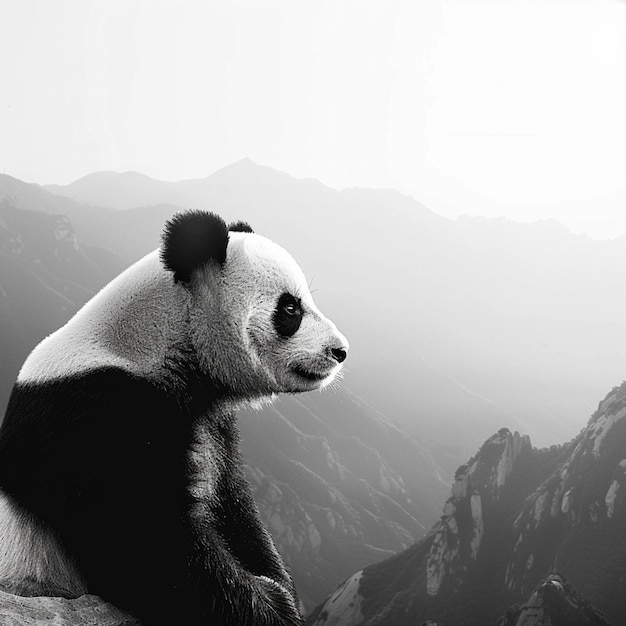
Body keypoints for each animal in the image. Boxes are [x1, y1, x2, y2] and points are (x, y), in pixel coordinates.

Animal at [0, 211, 346, 624]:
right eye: (291, 309)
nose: (340, 351)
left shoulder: (213, 426)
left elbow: (237, 513)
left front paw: (280, 590)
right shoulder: (94, 414)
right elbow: (147, 544)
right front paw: (272, 602)